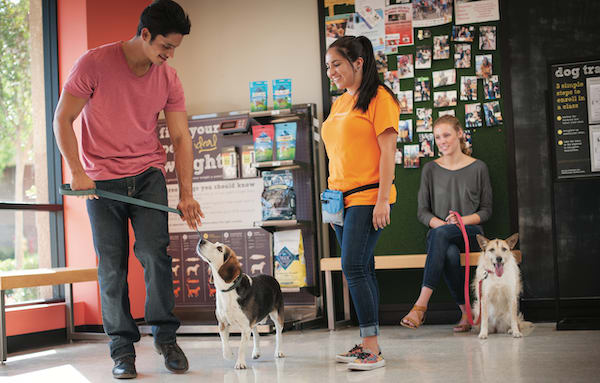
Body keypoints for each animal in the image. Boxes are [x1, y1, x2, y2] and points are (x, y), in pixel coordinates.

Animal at [195, 240, 284, 368]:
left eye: (219, 248)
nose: (201, 240)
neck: (227, 290)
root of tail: (271, 277)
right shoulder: (222, 323)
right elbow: (224, 342)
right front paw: (228, 355)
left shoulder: (245, 327)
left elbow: (241, 347)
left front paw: (240, 363)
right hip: (253, 321)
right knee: (256, 333)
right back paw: (256, 352)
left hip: (277, 315)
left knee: (278, 334)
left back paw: (279, 351)